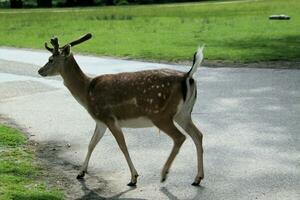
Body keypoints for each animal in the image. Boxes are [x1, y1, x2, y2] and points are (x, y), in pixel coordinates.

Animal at [38, 33, 204, 186]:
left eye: (50, 59)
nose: (40, 70)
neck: (87, 92)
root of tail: (188, 76)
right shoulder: (100, 121)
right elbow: (91, 144)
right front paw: (80, 173)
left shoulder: (109, 117)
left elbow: (122, 146)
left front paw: (133, 178)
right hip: (183, 113)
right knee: (198, 135)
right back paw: (197, 178)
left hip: (161, 115)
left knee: (180, 137)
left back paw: (164, 174)